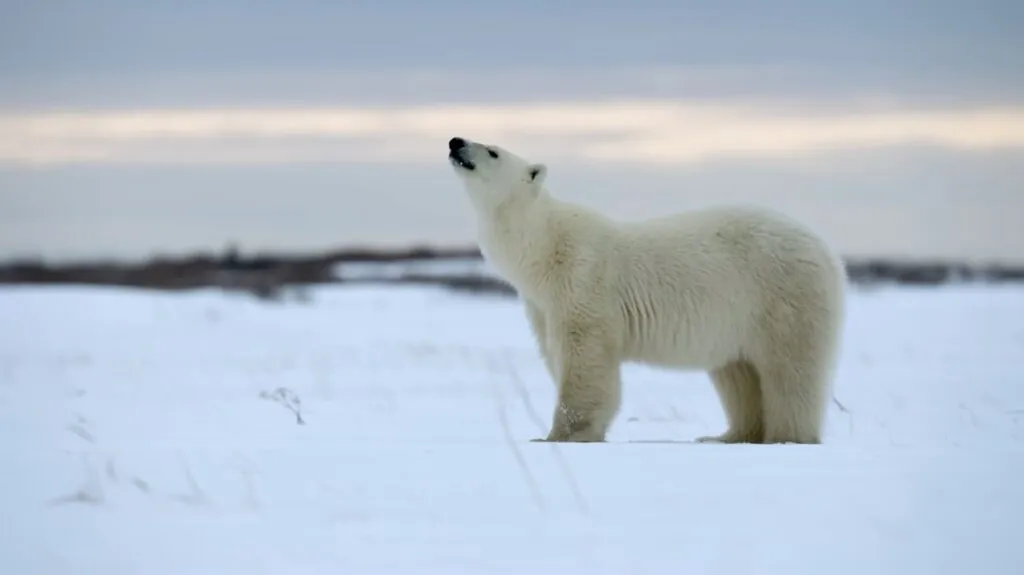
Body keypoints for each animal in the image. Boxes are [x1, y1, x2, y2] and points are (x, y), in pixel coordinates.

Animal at [444, 134, 843, 444]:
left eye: (493, 151)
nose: (455, 141)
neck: (543, 248)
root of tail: (828, 250)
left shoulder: (583, 280)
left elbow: (584, 358)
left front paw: (560, 435)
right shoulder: (541, 305)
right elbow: (555, 353)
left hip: (782, 295)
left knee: (790, 371)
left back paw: (787, 435)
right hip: (740, 318)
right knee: (739, 373)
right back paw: (727, 435)